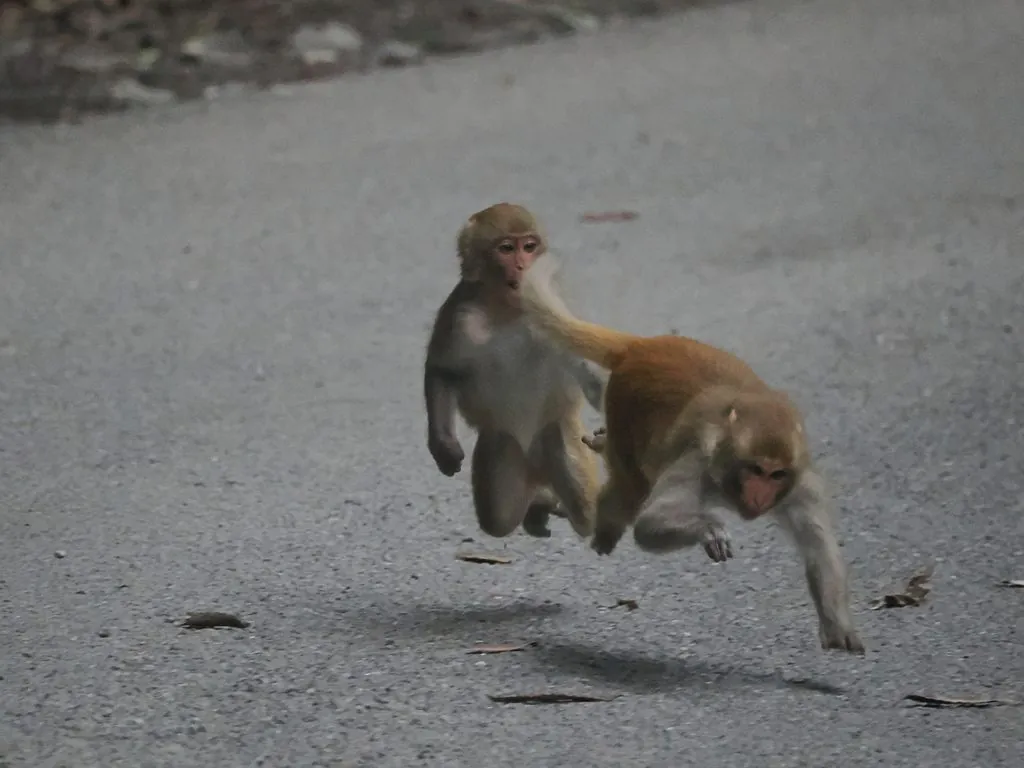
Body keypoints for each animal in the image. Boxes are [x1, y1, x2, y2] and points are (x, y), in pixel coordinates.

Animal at [423, 203, 605, 540]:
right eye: (507, 249)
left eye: (529, 247)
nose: (522, 266)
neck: (506, 309)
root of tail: (536, 467)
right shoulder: (459, 313)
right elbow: (442, 371)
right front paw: (443, 446)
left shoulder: (552, 305)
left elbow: (587, 370)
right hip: (502, 447)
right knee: (499, 519)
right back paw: (539, 505)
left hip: (558, 432)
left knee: (587, 515)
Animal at [516, 256, 864, 653]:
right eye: (755, 470)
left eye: (775, 474)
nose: (760, 496)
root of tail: (641, 347)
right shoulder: (697, 463)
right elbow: (651, 522)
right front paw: (708, 527)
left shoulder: (800, 482)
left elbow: (820, 546)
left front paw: (838, 624)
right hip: (625, 405)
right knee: (631, 486)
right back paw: (606, 521)